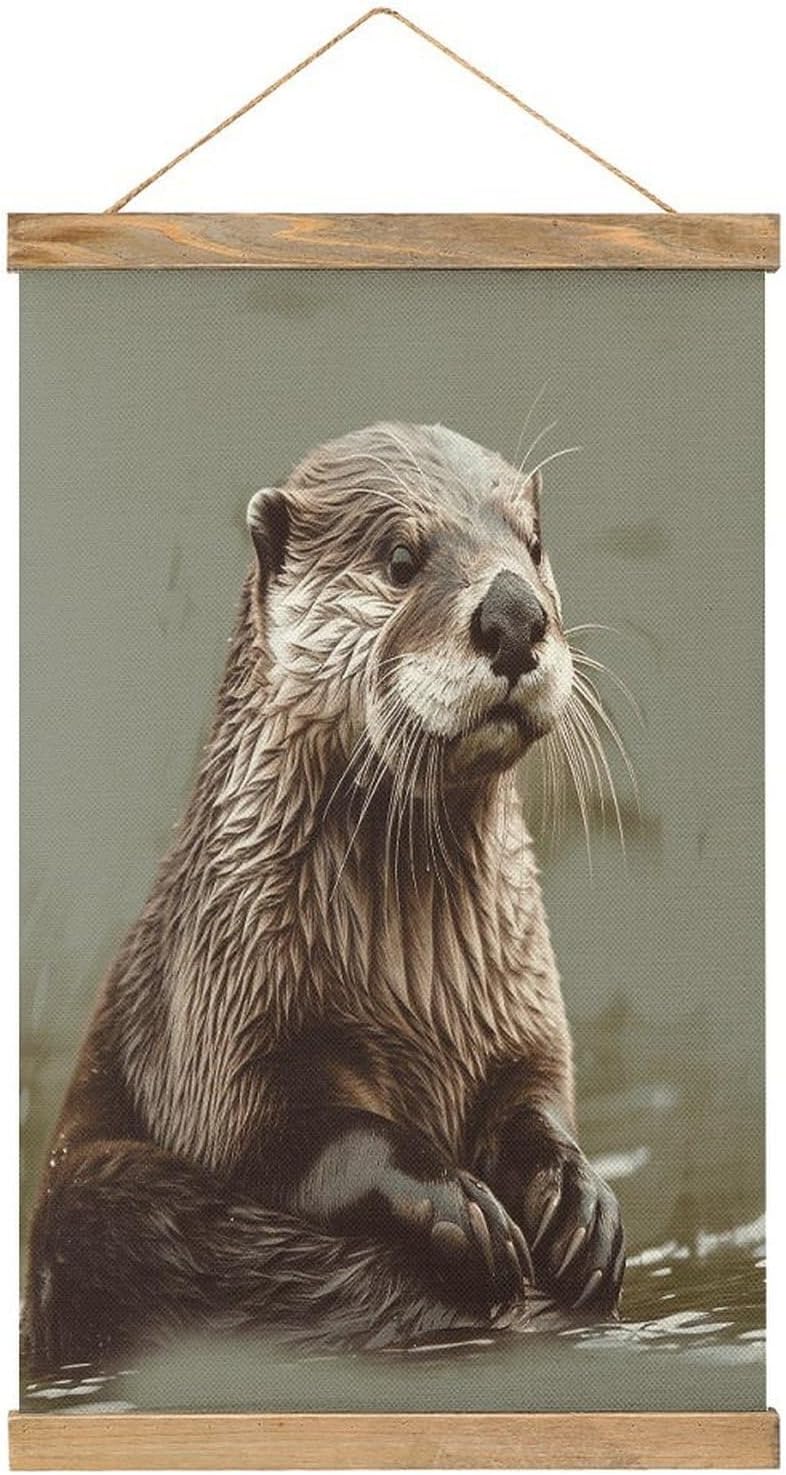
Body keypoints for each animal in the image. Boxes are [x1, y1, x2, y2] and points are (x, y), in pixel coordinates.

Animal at [24, 422, 624, 1372]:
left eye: (531, 544)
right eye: (402, 558)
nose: (514, 614)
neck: (417, 989)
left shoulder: (520, 1011)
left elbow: (534, 1098)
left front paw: (580, 1194)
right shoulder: (215, 1014)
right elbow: (288, 1134)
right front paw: (456, 1202)